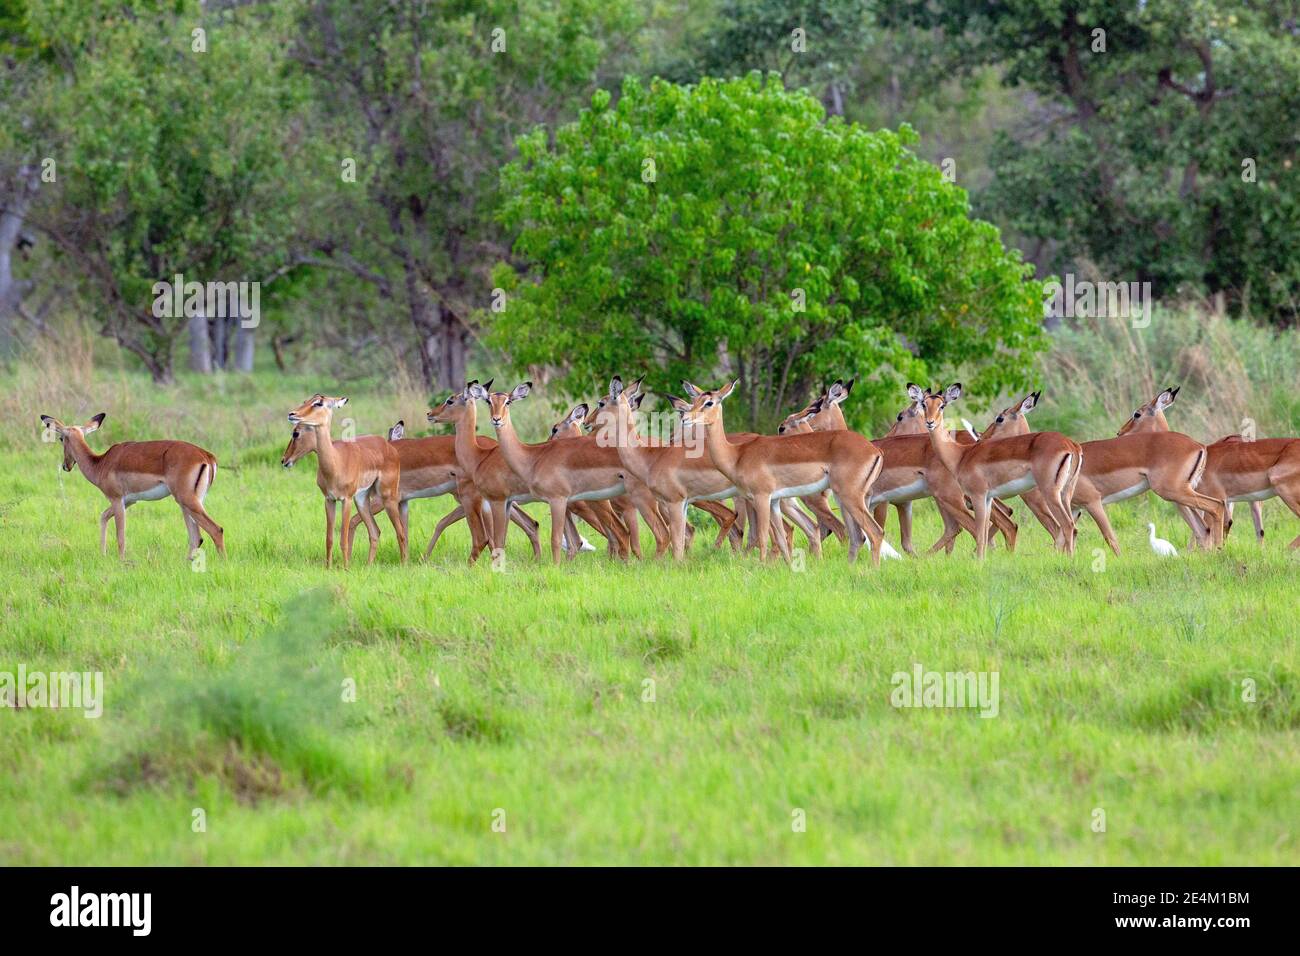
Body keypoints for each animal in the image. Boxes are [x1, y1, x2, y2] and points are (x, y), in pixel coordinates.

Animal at [39, 413, 225, 559]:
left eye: (61, 438)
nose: (66, 466)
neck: (101, 463)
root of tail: (206, 456)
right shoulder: (129, 501)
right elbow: (103, 516)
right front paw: (103, 554)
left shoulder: (116, 499)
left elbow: (120, 536)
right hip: (189, 503)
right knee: (196, 537)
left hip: (187, 501)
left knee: (216, 530)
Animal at [286, 394, 407, 567]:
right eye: (305, 401)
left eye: (318, 403)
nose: (292, 414)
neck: (336, 462)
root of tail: (389, 445)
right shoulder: (329, 500)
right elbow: (329, 539)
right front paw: (328, 568)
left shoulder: (346, 500)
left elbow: (343, 539)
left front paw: (346, 568)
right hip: (362, 500)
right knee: (375, 531)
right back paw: (368, 566)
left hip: (387, 497)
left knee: (401, 532)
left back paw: (404, 566)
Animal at [473, 380, 669, 563]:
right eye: (488, 401)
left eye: (508, 401)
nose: (496, 419)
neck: (531, 458)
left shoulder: (558, 500)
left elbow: (556, 539)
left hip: (635, 502)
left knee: (653, 534)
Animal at [680, 380, 887, 564]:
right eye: (695, 400)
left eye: (709, 402)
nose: (685, 418)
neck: (737, 455)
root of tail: (875, 450)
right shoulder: (774, 502)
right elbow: (780, 537)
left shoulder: (762, 497)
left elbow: (762, 536)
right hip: (842, 499)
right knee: (857, 536)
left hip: (848, 497)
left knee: (874, 532)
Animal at [914, 384, 1081, 558]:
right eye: (924, 404)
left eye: (942, 405)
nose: (930, 422)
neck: (960, 455)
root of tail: (1071, 445)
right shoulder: (988, 498)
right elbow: (984, 533)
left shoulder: (978, 495)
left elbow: (980, 533)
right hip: (1066, 494)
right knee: (1072, 527)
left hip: (1050, 493)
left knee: (1067, 525)